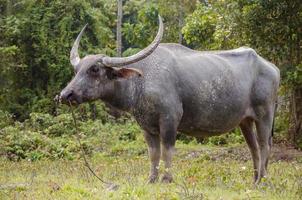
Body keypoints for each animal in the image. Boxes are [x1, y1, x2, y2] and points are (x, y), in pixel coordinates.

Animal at [59, 16, 280, 184]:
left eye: (94, 69)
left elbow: (167, 150)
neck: (141, 81)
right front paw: (151, 179)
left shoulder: (169, 120)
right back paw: (255, 179)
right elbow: (153, 153)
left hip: (265, 115)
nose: (65, 95)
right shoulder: (147, 126)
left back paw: (263, 180)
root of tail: (272, 68)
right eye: (77, 70)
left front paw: (167, 179)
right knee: (253, 148)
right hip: (245, 121)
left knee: (264, 145)